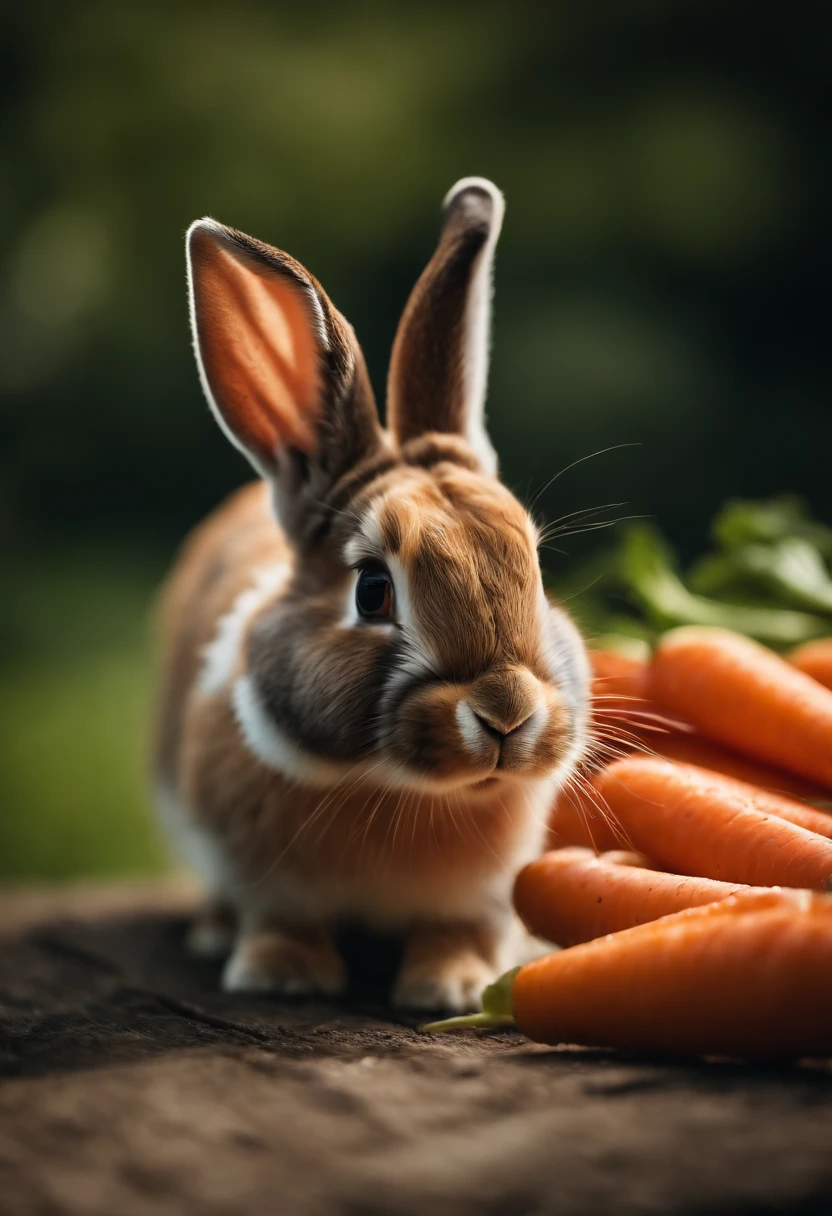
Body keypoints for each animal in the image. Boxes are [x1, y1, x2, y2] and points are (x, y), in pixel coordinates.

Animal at [150, 176, 591, 1011]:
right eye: (374, 592)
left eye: (537, 569)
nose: (507, 714)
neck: (396, 789)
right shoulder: (264, 878)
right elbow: (281, 918)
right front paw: (282, 979)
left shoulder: (482, 895)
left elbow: (461, 931)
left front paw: (450, 989)